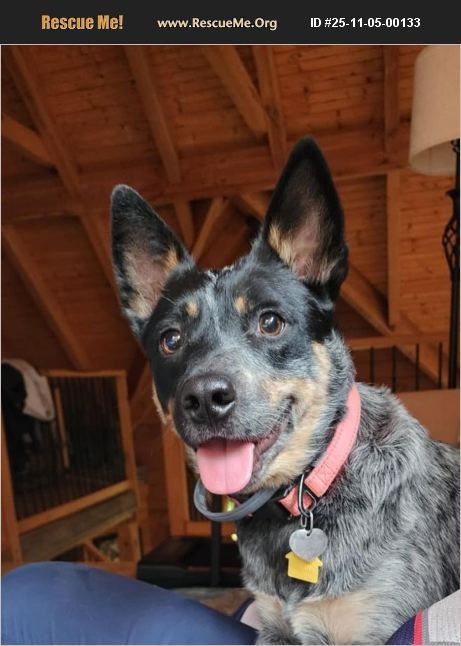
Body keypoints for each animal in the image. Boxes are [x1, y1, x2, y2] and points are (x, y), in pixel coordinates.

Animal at [111, 138, 459, 645]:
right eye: (170, 339)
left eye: (270, 322)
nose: (204, 398)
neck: (304, 498)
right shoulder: (273, 625)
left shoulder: (371, 625)